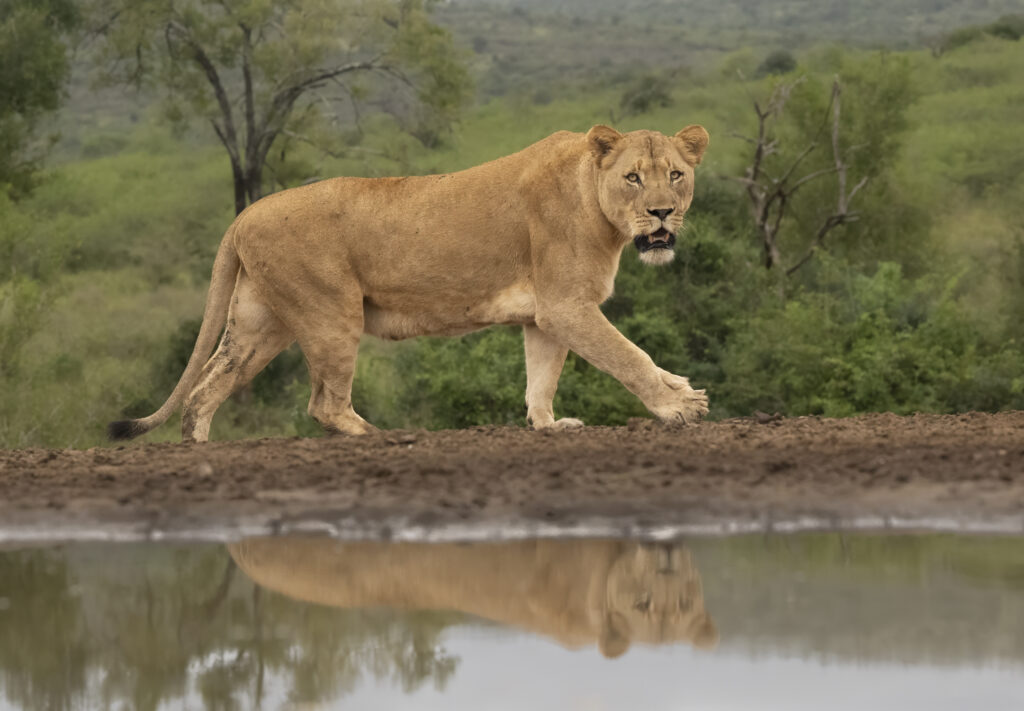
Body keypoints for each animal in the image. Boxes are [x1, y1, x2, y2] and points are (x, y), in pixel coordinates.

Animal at [108, 124, 710, 442]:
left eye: (675, 175)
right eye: (632, 177)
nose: (661, 213)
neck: (597, 205)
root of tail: (244, 216)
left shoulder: (546, 314)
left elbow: (541, 378)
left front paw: (549, 425)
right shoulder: (566, 305)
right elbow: (629, 356)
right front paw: (678, 405)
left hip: (261, 325)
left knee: (204, 390)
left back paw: (199, 448)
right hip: (332, 314)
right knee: (323, 404)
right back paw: (377, 436)